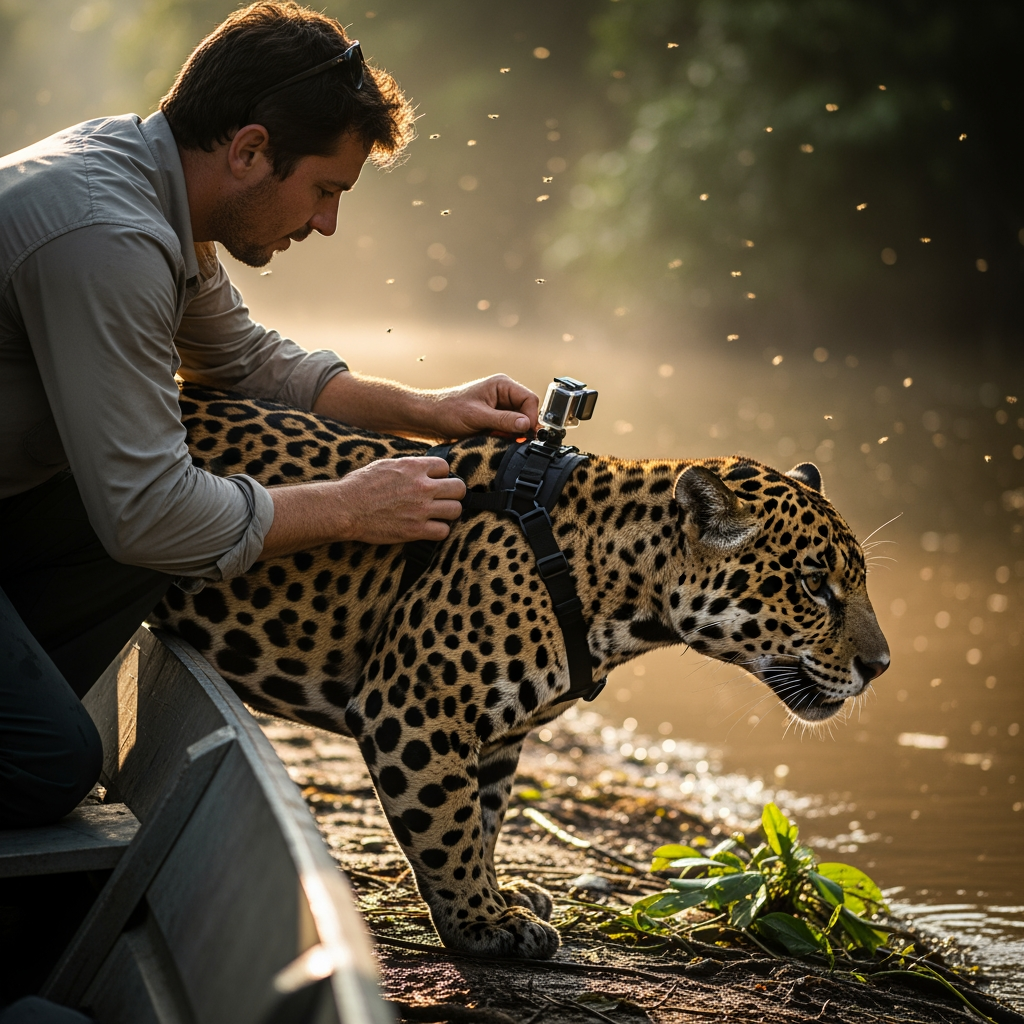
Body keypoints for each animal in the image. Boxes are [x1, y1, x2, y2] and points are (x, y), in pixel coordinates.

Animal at [152, 382, 890, 960]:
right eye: (815, 584)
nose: (880, 665)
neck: (615, 586)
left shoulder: (499, 736)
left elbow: (481, 816)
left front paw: (496, 896)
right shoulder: (415, 707)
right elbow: (445, 822)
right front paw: (484, 924)